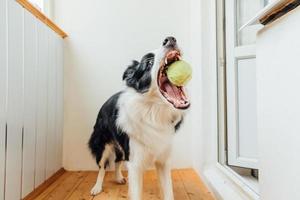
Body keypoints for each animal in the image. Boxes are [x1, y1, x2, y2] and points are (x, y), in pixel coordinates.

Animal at [88, 36, 190, 199]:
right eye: (148, 63)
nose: (170, 39)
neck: (154, 111)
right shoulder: (135, 163)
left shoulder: (163, 160)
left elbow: (168, 192)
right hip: (102, 144)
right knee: (102, 166)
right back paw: (97, 187)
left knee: (118, 160)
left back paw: (118, 178)